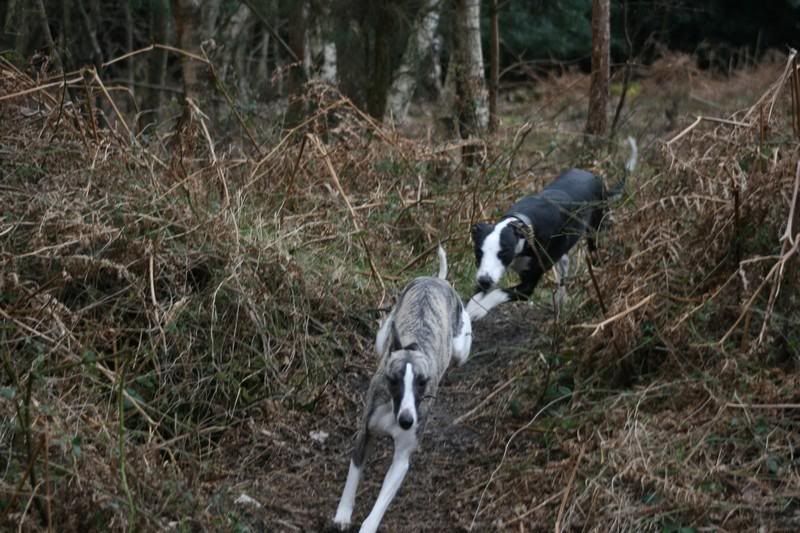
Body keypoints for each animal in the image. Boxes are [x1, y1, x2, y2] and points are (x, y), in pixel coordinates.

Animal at [334, 246, 472, 532]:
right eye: (394, 379)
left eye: (422, 382)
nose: (407, 421)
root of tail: (436, 279)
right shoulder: (365, 433)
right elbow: (352, 477)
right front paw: (342, 514)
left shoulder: (402, 459)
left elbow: (381, 503)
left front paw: (367, 526)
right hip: (382, 338)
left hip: (460, 349)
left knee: (464, 343)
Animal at [466, 138, 636, 320]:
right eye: (478, 252)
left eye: (504, 252)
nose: (484, 280)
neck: (525, 228)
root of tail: (596, 177)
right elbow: (482, 292)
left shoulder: (527, 286)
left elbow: (500, 292)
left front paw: (477, 309)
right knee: (564, 268)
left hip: (596, 230)